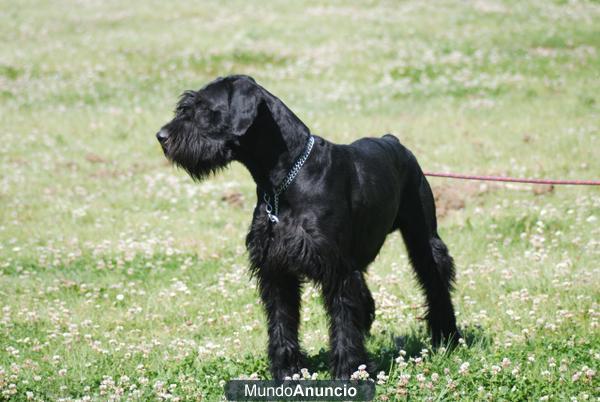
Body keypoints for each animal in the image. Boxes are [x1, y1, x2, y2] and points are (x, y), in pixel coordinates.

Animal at [156, 75, 460, 380]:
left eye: (204, 108)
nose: (161, 136)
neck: (284, 180)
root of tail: (393, 141)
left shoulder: (336, 268)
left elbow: (342, 318)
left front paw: (349, 371)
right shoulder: (276, 267)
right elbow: (282, 320)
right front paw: (286, 371)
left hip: (423, 238)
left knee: (435, 280)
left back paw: (447, 337)